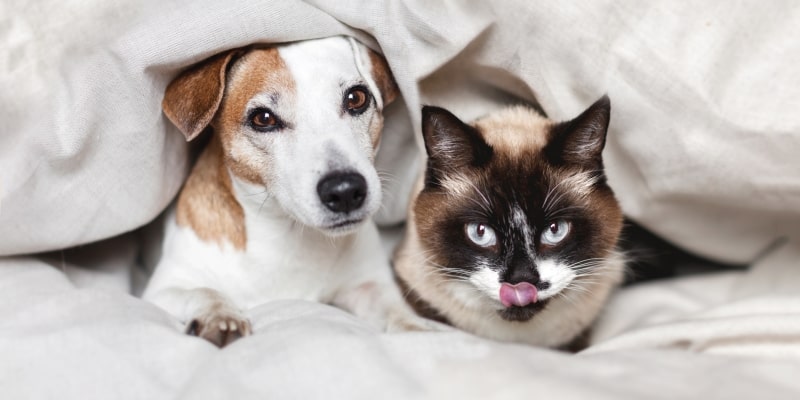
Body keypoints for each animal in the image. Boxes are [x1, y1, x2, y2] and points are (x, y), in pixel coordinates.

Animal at [145, 35, 418, 346]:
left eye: (356, 98)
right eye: (263, 118)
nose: (345, 191)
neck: (288, 235)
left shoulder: (369, 285)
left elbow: (398, 312)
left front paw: (421, 329)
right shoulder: (163, 289)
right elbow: (204, 291)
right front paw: (220, 315)